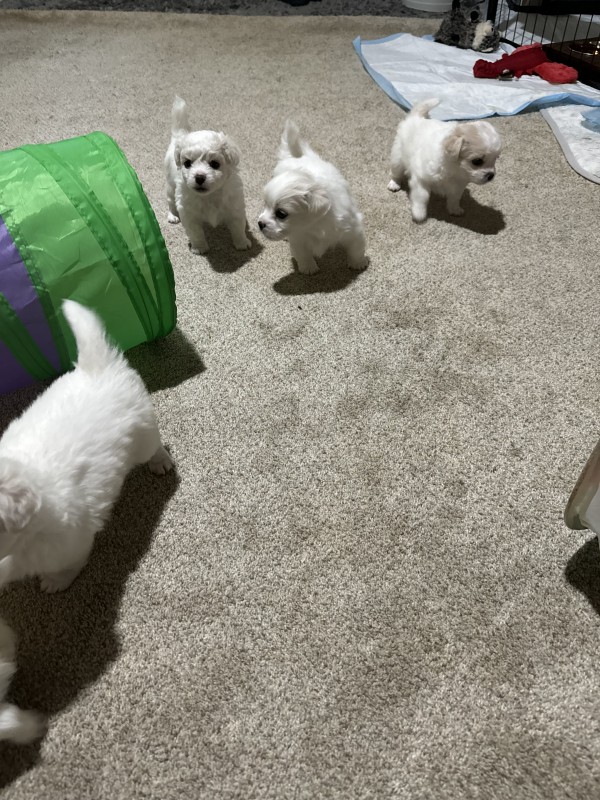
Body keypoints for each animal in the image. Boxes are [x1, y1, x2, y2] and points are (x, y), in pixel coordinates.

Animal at [0, 300, 174, 594]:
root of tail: (97, 366)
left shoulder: (69, 544)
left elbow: (69, 564)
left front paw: (55, 582)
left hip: (144, 433)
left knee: (155, 445)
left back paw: (160, 462)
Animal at [165, 96, 251, 255]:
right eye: (187, 163)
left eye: (215, 164)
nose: (199, 177)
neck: (210, 196)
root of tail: (179, 136)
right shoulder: (189, 214)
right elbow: (196, 233)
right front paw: (199, 248)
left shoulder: (235, 208)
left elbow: (238, 228)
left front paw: (242, 243)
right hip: (170, 186)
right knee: (170, 202)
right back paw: (172, 215)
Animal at [258, 121, 368, 275]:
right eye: (265, 205)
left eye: (281, 214)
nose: (260, 223)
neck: (315, 225)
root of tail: (292, 157)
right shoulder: (298, 238)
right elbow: (303, 254)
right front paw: (309, 268)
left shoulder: (352, 229)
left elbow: (356, 248)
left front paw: (358, 264)